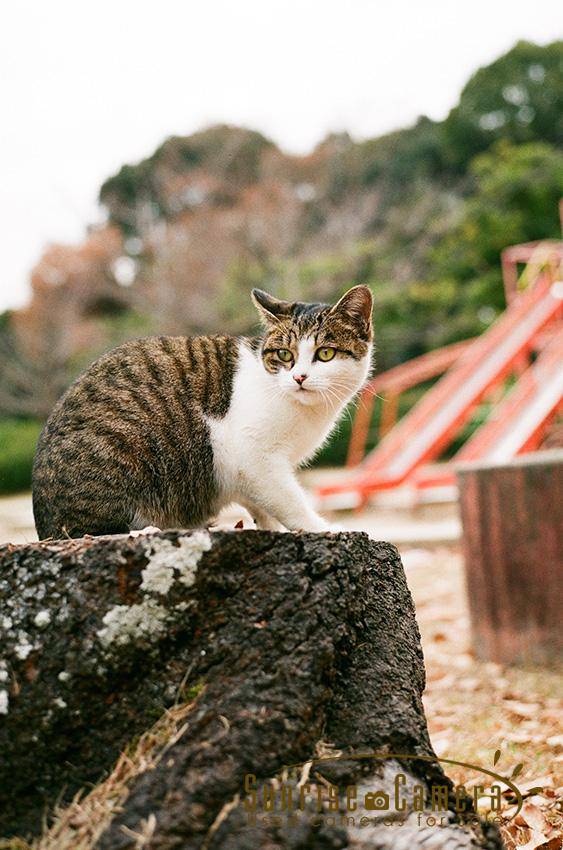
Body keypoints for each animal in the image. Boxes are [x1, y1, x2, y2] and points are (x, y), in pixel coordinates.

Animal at [32, 284, 374, 536]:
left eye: (325, 354)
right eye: (284, 355)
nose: (299, 377)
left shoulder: (248, 473)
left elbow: (262, 504)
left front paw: (270, 527)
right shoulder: (253, 456)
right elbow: (289, 501)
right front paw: (319, 527)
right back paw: (147, 530)